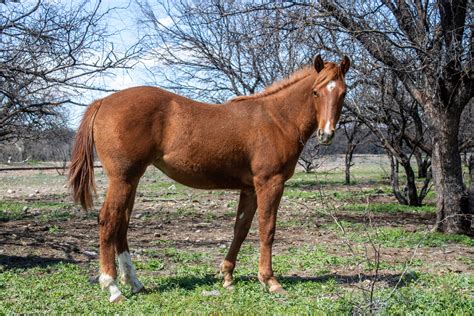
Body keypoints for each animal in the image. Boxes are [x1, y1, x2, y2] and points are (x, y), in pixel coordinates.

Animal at [68, 54, 348, 302]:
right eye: (315, 92)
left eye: (343, 93)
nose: (326, 134)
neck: (276, 119)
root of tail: (103, 101)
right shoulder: (270, 183)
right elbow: (267, 229)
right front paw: (270, 281)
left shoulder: (249, 188)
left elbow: (241, 229)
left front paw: (227, 276)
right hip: (122, 178)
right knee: (108, 221)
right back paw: (113, 287)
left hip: (131, 180)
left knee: (121, 225)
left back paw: (134, 282)